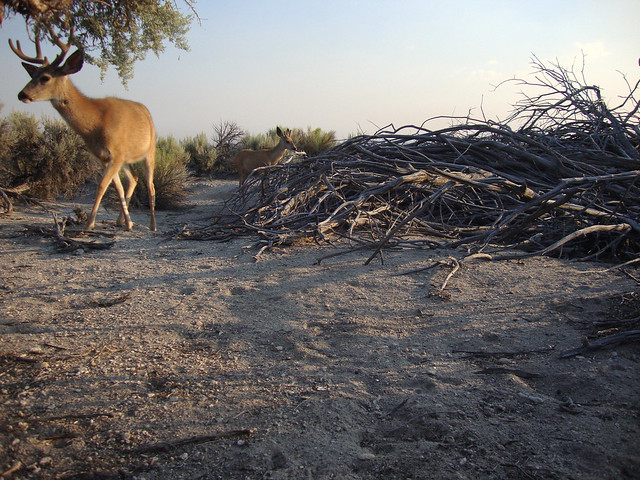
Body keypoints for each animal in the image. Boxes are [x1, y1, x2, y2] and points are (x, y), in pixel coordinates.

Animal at [10, 30, 158, 232]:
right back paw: (122, 221)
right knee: (134, 179)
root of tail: (146, 111)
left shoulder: (117, 154)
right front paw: (127, 223)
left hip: (149, 152)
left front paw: (89, 224)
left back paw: (152, 225)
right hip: (127, 159)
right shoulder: (104, 157)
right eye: (33, 75)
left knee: (150, 185)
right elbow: (115, 187)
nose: (22, 94)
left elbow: (102, 185)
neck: (95, 123)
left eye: (45, 77)